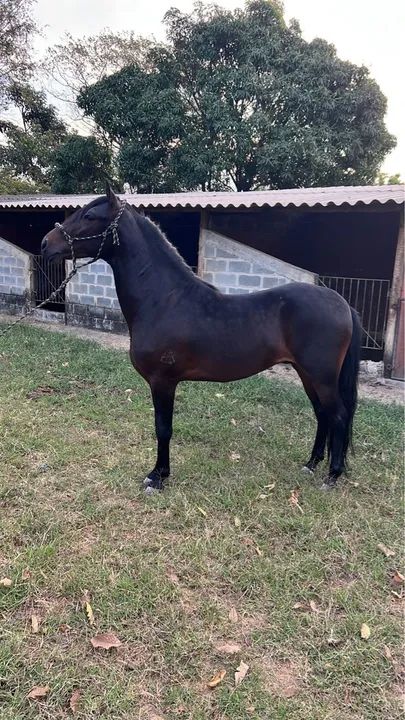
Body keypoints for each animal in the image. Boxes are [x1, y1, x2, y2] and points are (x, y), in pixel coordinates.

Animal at [41, 185, 362, 494]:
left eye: (89, 216)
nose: (45, 244)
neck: (164, 299)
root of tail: (342, 303)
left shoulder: (162, 381)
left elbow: (163, 428)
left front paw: (157, 477)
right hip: (307, 374)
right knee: (322, 414)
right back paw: (311, 464)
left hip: (321, 376)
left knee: (338, 416)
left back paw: (332, 476)